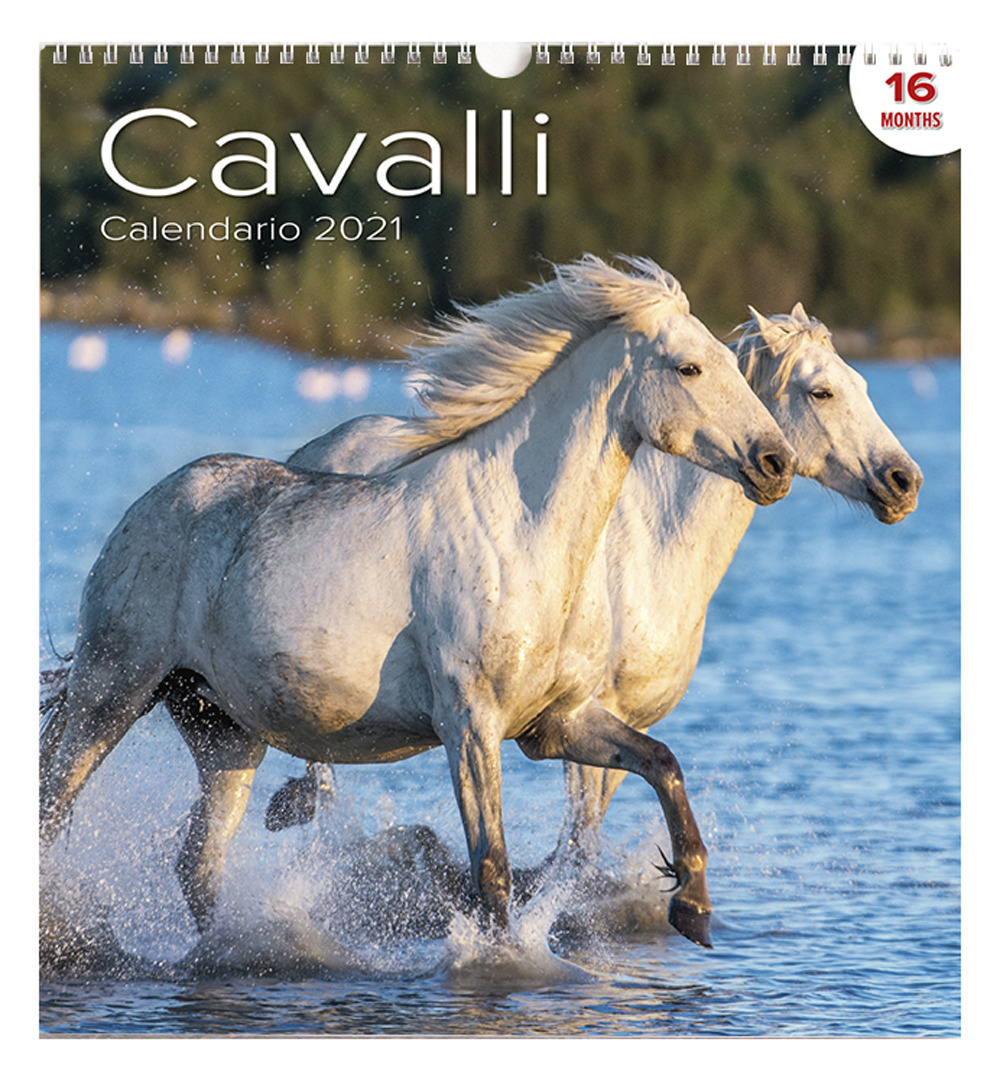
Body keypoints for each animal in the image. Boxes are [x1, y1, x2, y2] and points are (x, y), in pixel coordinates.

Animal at [39, 256, 796, 951]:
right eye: (689, 368)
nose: (776, 462)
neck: (519, 532)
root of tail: (153, 503)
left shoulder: (554, 723)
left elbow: (662, 762)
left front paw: (693, 906)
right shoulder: (470, 724)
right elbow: (491, 870)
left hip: (222, 729)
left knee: (197, 863)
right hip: (111, 694)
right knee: (55, 812)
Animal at [278, 301, 923, 890]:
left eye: (861, 384)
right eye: (822, 392)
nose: (904, 482)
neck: (653, 552)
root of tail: (310, 453)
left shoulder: (613, 721)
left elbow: (592, 834)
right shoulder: (585, 710)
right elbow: (577, 846)